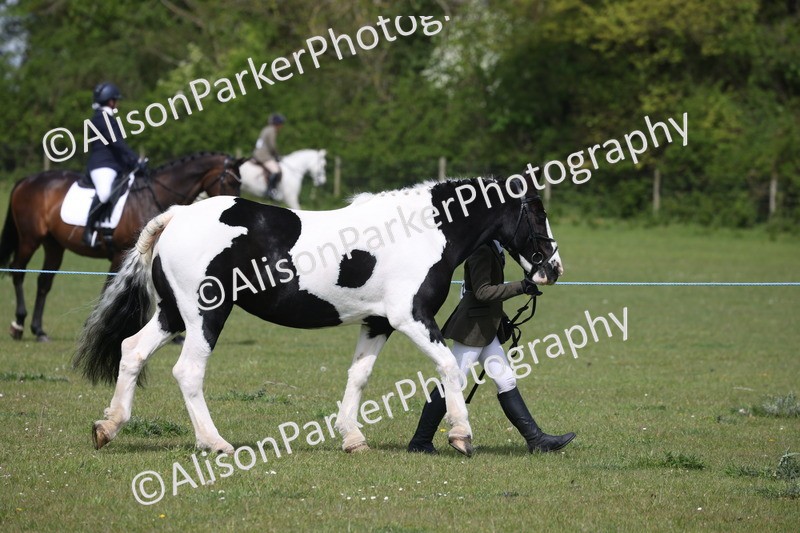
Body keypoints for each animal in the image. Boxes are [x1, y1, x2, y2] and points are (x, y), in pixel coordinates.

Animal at [0, 152, 242, 342]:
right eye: (231, 183)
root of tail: (26, 180)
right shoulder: (120, 255)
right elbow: (109, 286)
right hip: (30, 239)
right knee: (18, 272)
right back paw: (18, 325)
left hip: (54, 245)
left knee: (44, 282)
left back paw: (39, 330)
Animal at [73, 173, 562, 457]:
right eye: (536, 213)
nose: (552, 269)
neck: (422, 231)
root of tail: (175, 217)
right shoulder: (411, 318)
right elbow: (447, 366)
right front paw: (461, 435)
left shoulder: (378, 323)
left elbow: (358, 376)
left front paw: (352, 437)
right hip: (205, 315)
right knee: (188, 372)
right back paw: (215, 443)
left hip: (174, 314)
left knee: (132, 350)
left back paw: (108, 428)